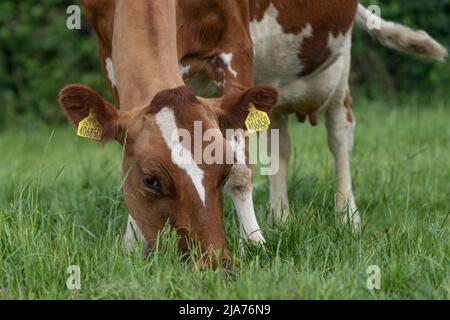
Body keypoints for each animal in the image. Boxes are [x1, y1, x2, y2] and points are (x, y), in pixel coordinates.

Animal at [59, 0, 278, 264]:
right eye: (150, 180)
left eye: (223, 171)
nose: (214, 262)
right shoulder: (107, 50)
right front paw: (133, 244)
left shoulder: (236, 43)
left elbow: (241, 171)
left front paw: (255, 243)